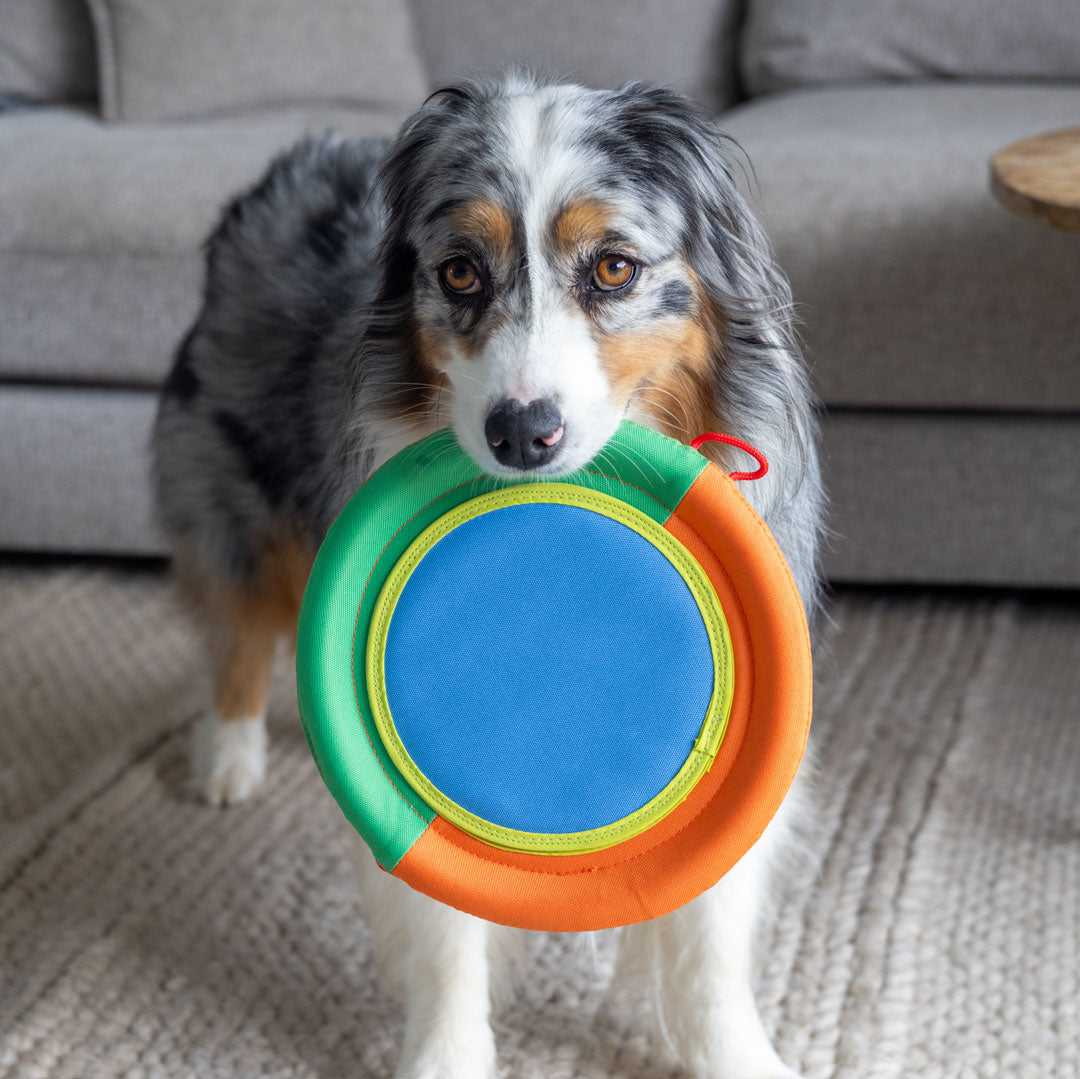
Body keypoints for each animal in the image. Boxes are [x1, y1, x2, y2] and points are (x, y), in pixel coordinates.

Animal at [152, 69, 820, 1079]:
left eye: (614, 269)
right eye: (460, 271)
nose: (522, 434)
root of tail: (298, 159)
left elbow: (709, 926)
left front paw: (735, 1054)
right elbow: (443, 922)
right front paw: (445, 1055)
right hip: (235, 497)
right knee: (242, 624)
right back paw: (228, 755)